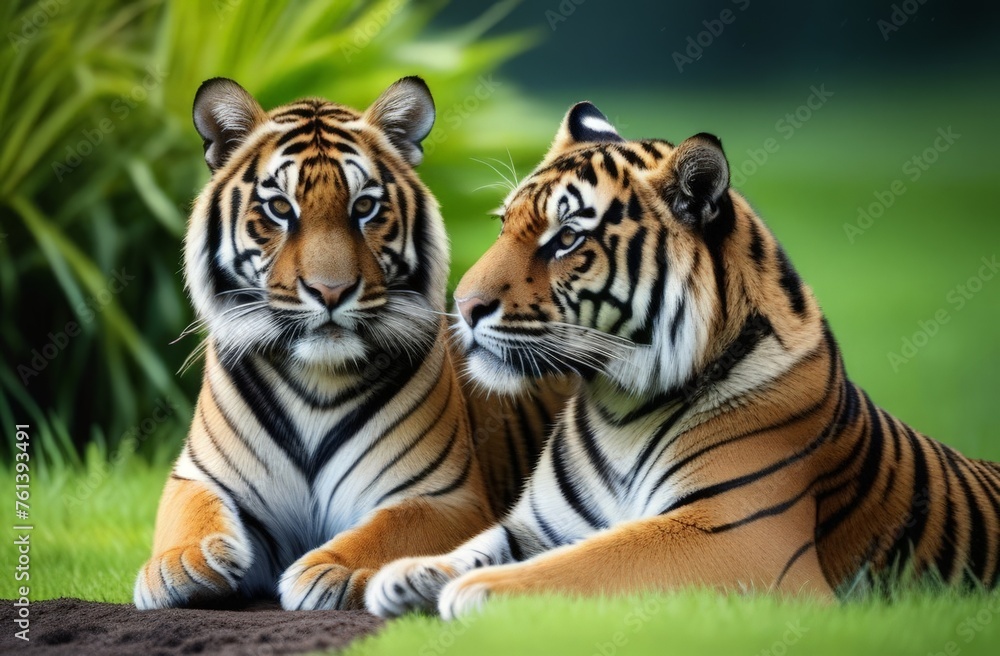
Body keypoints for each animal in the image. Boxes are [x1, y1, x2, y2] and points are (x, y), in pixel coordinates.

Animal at [134, 76, 506, 611]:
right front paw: (180, 562)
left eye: (365, 207)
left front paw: (329, 569)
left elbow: (392, 529)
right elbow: (191, 510)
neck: (318, 377)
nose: (331, 291)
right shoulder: (200, 476)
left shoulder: (445, 496)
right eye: (279, 208)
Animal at [365, 102, 1000, 620]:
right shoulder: (537, 523)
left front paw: (478, 591)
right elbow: (477, 544)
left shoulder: (732, 535)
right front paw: (401, 575)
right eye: (504, 224)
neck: (617, 406)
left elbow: (593, 559)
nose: (463, 306)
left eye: (567, 239)